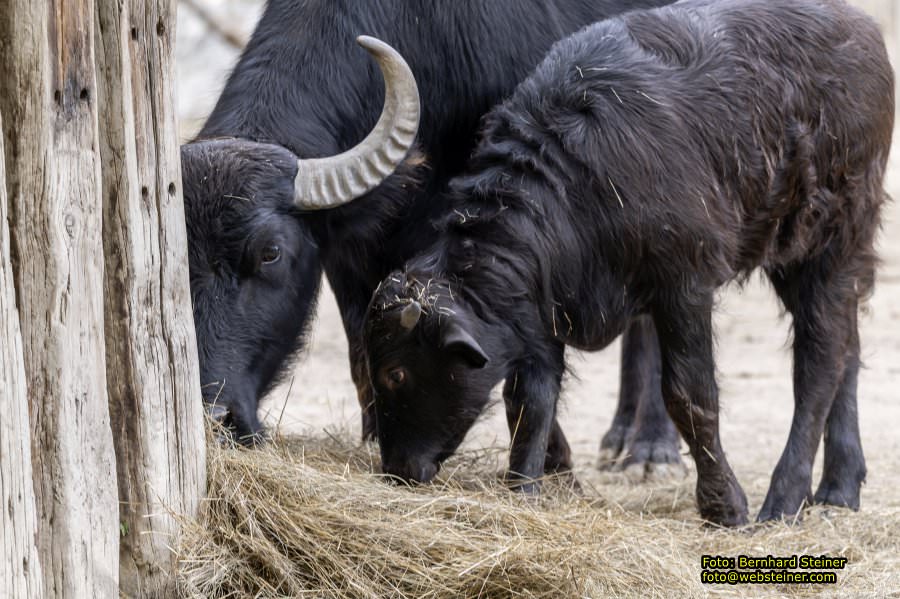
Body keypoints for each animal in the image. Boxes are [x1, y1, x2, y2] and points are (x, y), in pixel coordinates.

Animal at [179, 0, 680, 472]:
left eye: (270, 253)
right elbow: (361, 338)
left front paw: (555, 459)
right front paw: (376, 430)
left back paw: (650, 445)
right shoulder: (351, 252)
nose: (215, 418)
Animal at [364, 0, 892, 524]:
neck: (576, 186)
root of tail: (862, 29)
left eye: (396, 373)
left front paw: (724, 506)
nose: (398, 470)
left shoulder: (684, 286)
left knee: (819, 362)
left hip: (831, 241)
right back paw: (840, 486)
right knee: (847, 344)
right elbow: (530, 398)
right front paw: (524, 491)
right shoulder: (540, 305)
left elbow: (689, 395)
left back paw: (785, 499)